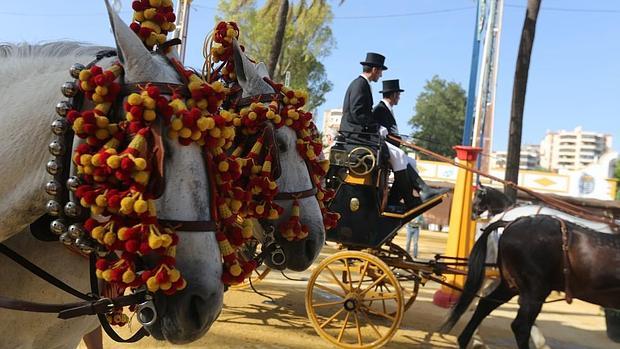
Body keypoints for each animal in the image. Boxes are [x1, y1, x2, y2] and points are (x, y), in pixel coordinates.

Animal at [438, 213, 620, 346]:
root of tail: (511, 223)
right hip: (535, 290)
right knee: (520, 326)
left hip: (510, 286)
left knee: (485, 305)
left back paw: (464, 340)